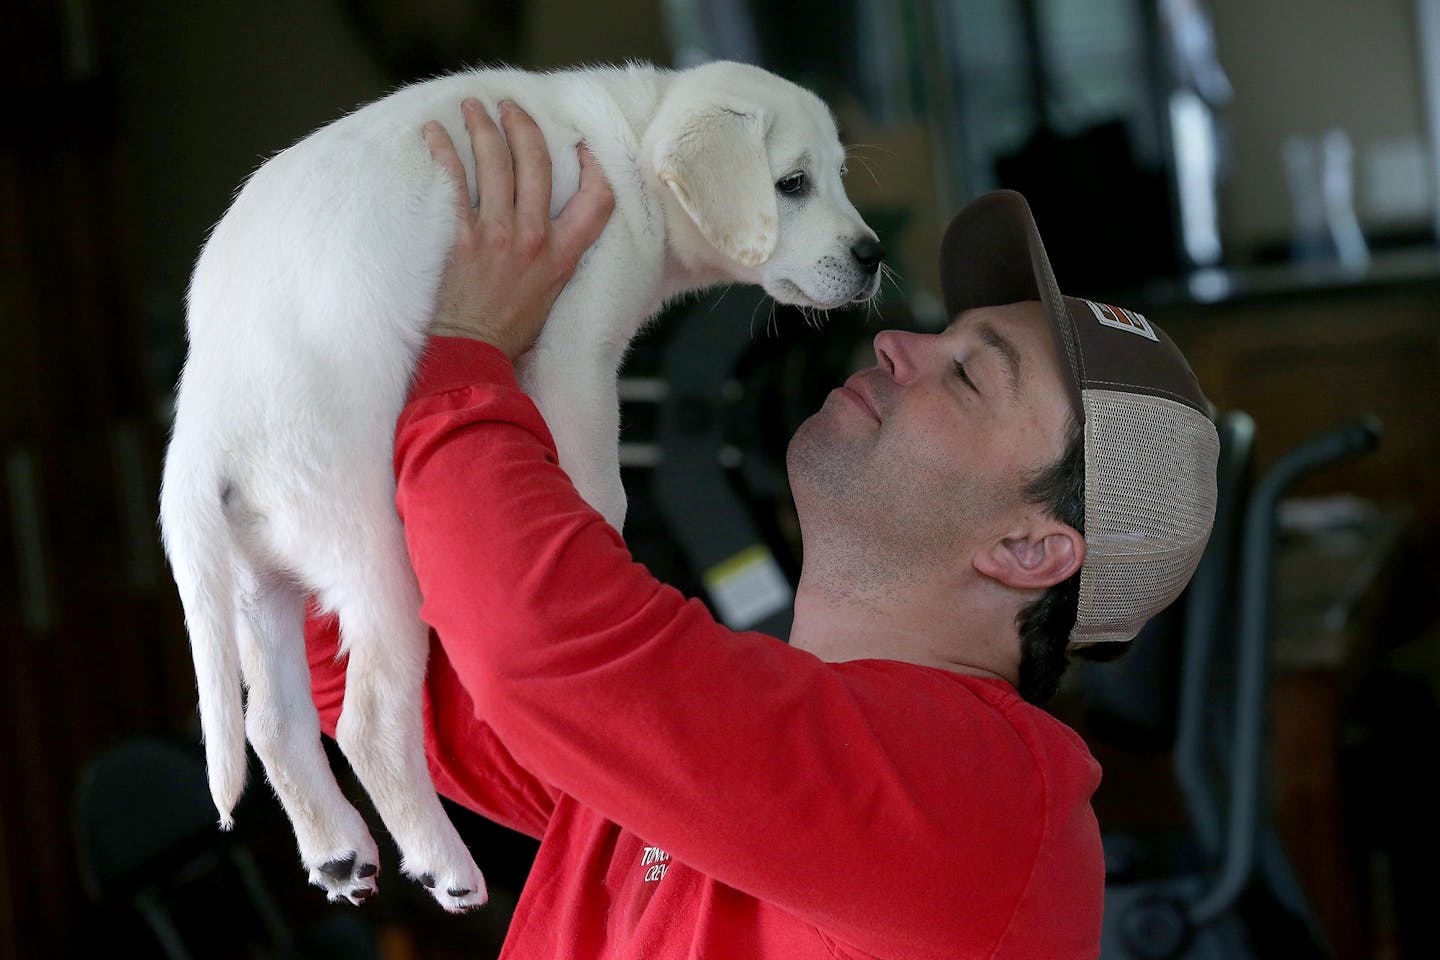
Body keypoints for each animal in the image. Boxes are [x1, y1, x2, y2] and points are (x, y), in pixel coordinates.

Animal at [154, 56, 875, 915]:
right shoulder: (576, 352)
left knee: (272, 727)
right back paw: (446, 867)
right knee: (368, 726)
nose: (872, 255)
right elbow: (598, 481)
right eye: (792, 183)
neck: (631, 144)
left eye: (838, 174)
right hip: (377, 565)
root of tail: (204, 422)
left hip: (259, 587)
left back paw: (336, 851)